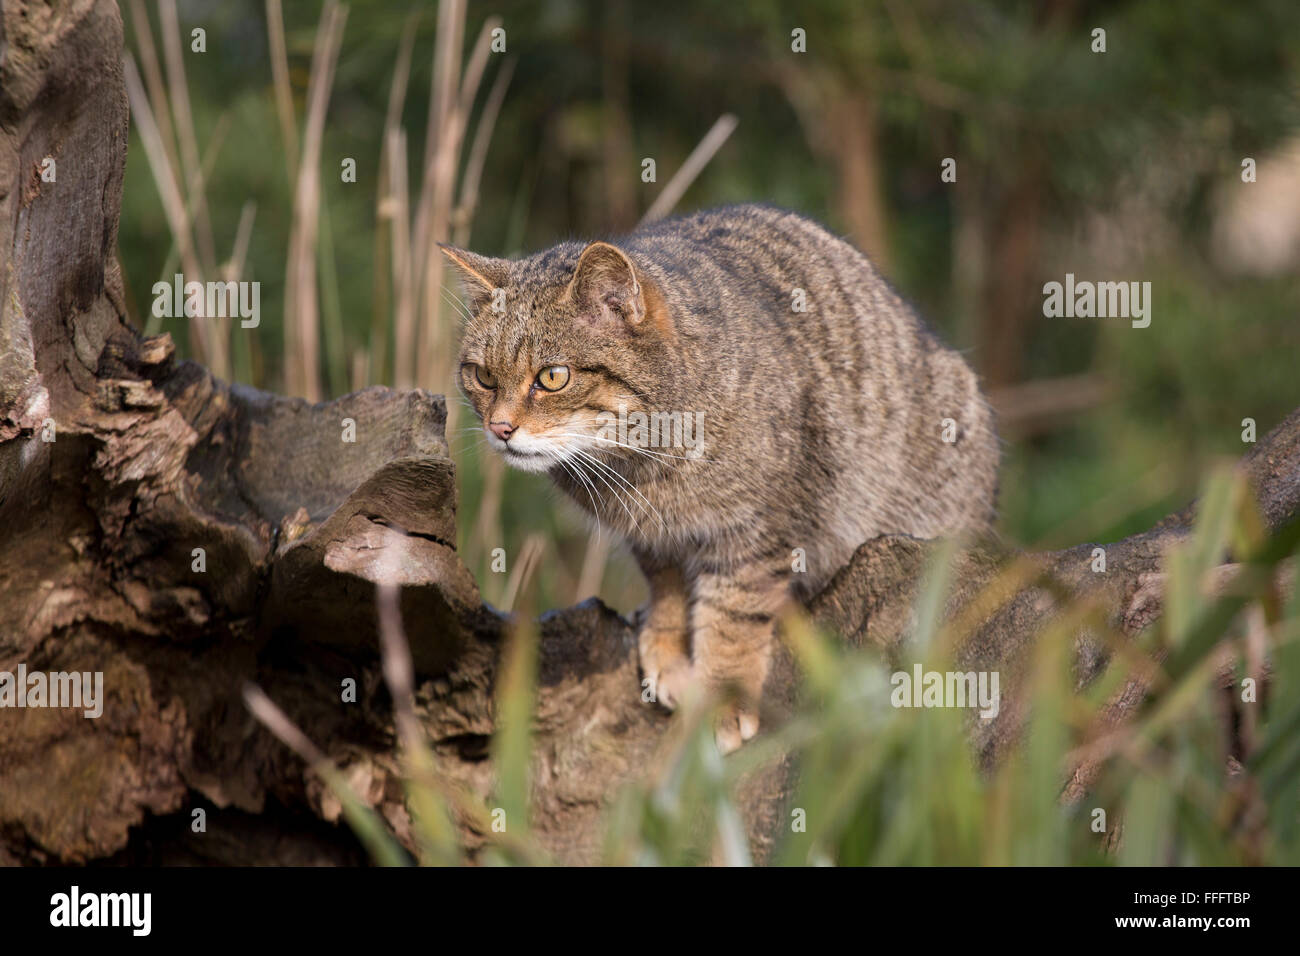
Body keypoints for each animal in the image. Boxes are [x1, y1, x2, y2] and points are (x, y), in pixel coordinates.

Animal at [441, 205, 998, 749]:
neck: (646, 465)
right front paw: (667, 649)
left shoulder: (755, 533)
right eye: (483, 376)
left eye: (553, 377)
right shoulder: (654, 538)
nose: (499, 428)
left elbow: (734, 617)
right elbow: (667, 589)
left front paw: (723, 699)